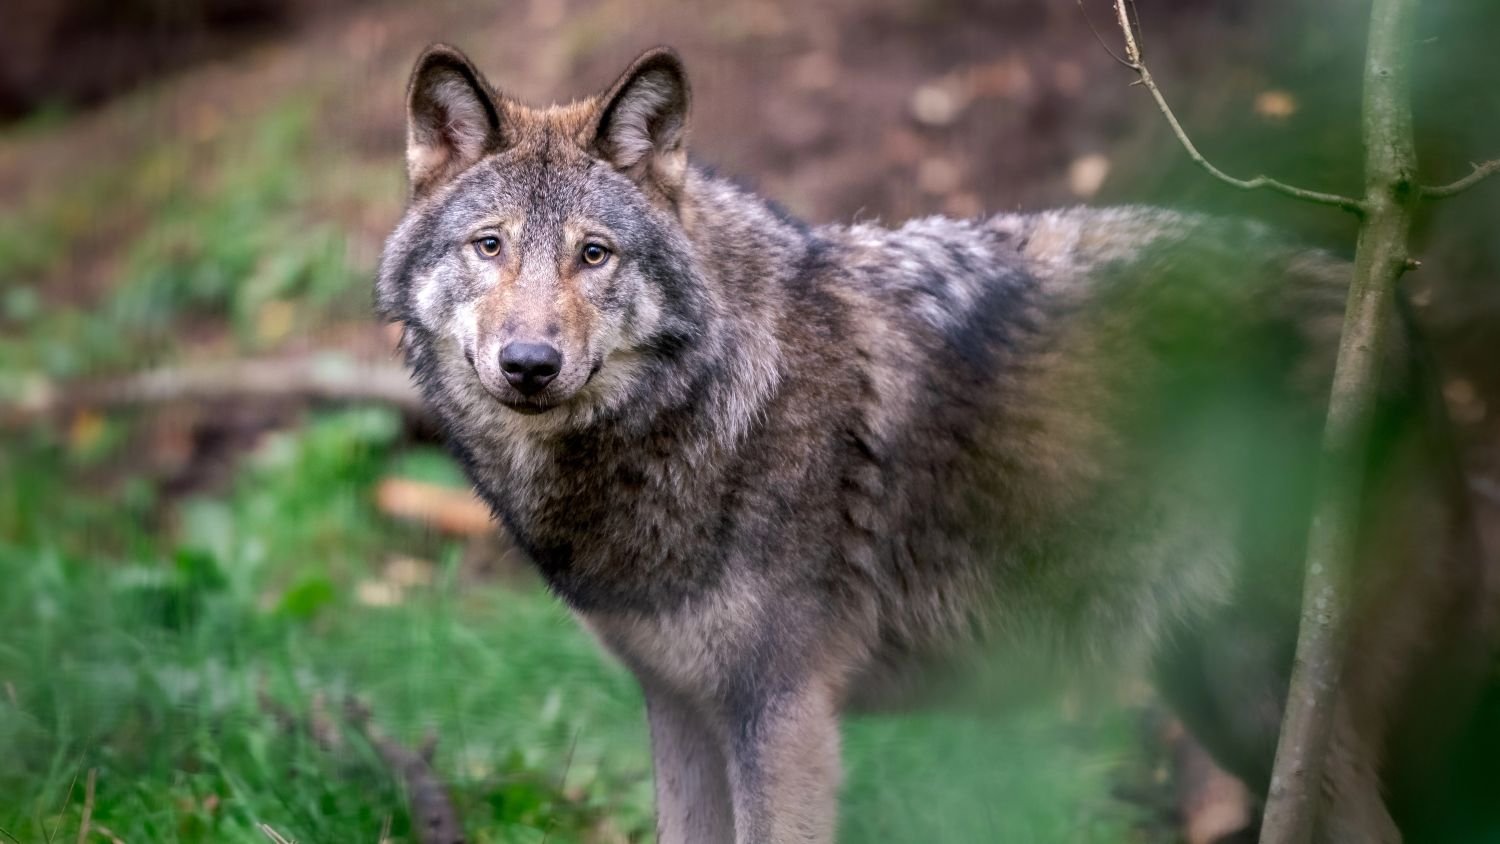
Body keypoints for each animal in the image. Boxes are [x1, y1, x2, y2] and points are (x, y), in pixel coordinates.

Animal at [376, 45, 1490, 843]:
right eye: (490, 247)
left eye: (594, 255)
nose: (529, 363)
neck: (707, 408)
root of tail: (1395, 319)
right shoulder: (681, 707)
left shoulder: (784, 715)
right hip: (1231, 699)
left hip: (1275, 703)